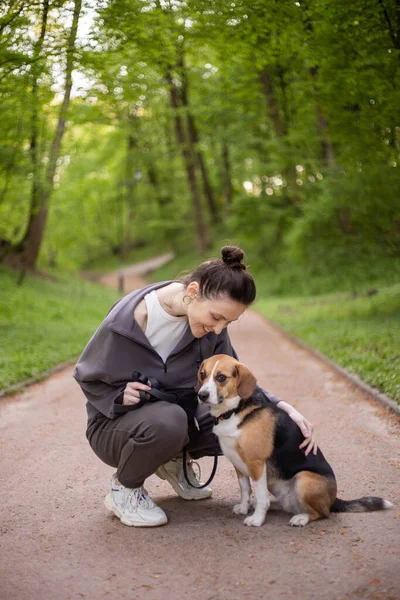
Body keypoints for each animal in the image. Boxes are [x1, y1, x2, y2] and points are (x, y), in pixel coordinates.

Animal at [195, 354, 392, 528]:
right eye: (203, 374)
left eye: (221, 377)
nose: (201, 395)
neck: (234, 410)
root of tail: (334, 500)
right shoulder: (238, 464)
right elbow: (245, 490)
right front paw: (244, 508)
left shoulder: (256, 463)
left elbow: (260, 495)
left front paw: (257, 520)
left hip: (303, 479)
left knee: (322, 513)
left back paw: (301, 518)